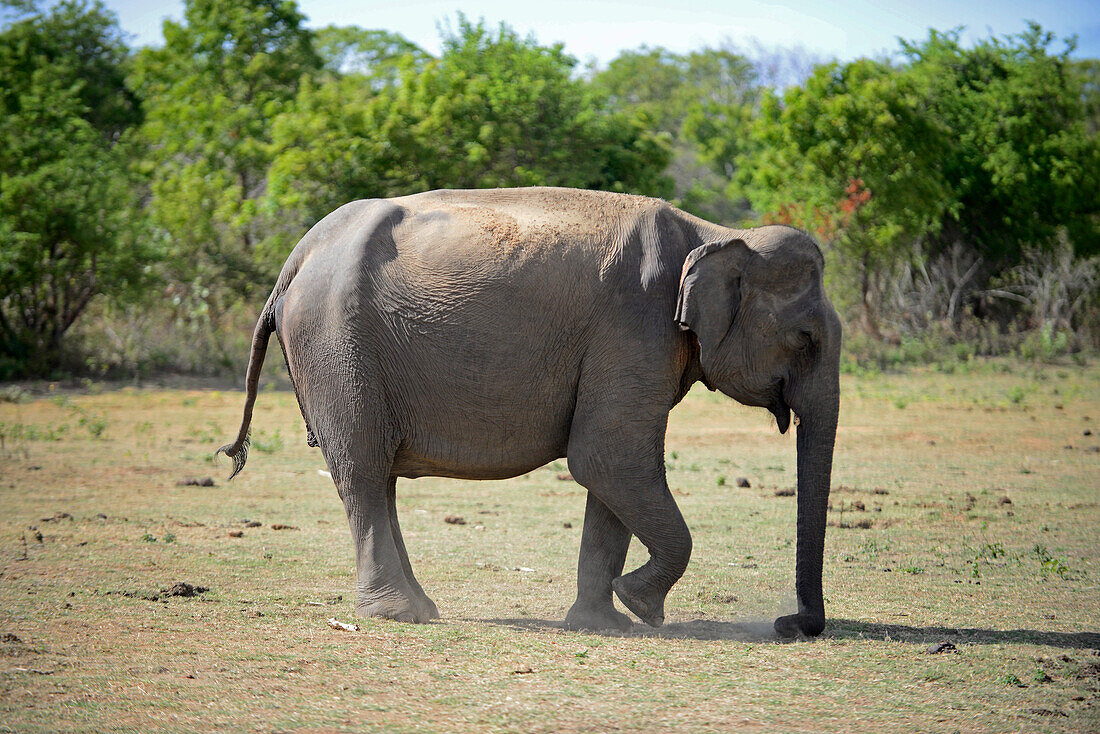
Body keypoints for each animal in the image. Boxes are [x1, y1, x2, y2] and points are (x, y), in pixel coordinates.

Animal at [216, 188, 840, 638]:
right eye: (806, 338)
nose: (791, 624)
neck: (715, 235)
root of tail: (298, 256)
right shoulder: (635, 328)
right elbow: (608, 459)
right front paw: (641, 605)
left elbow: (610, 472)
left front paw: (605, 621)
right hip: (336, 344)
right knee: (364, 470)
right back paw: (398, 615)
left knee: (380, 473)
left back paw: (421, 606)